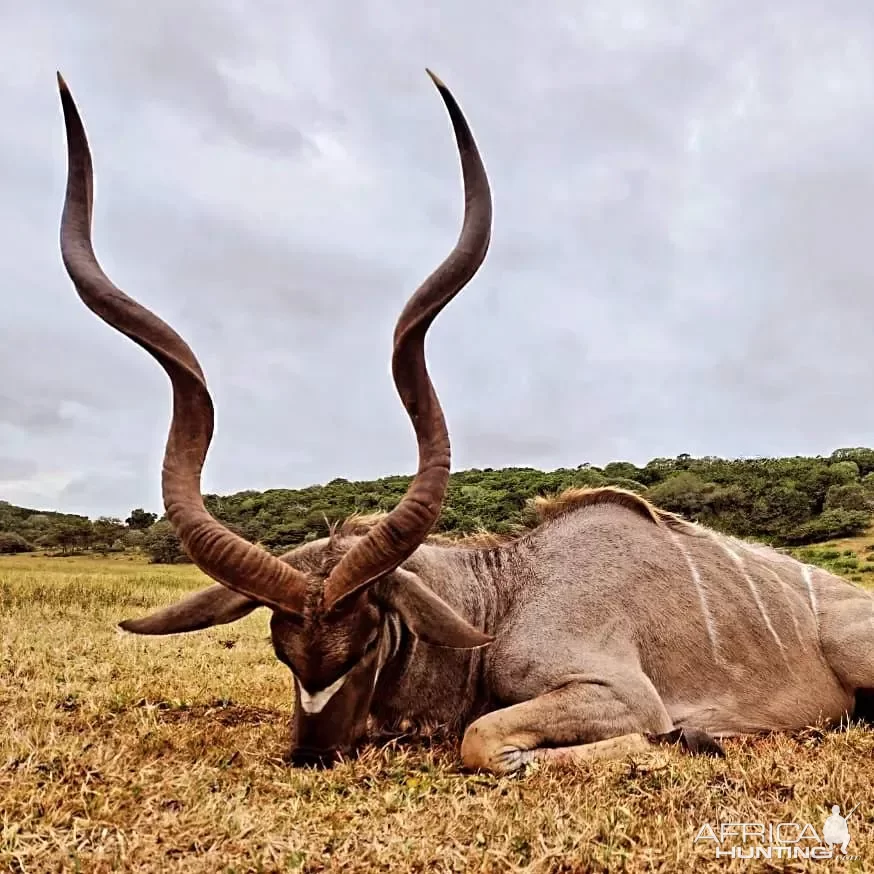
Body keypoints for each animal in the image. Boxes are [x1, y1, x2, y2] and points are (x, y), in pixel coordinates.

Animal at [56, 71, 874, 772]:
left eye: (369, 641)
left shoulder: (618, 693)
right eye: (282, 649)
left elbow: (482, 741)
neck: (504, 595)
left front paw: (687, 737)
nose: (314, 753)